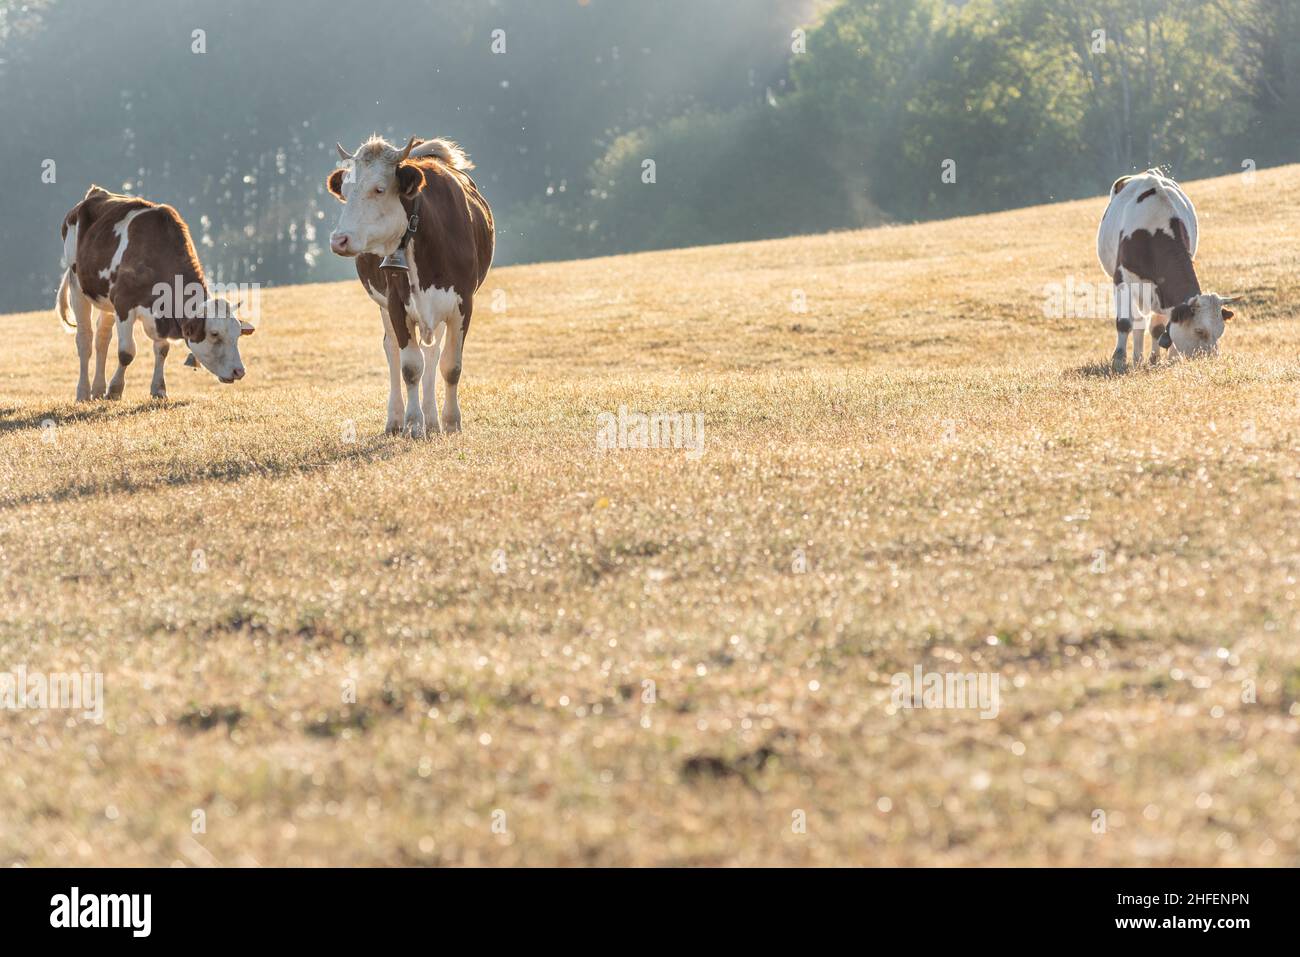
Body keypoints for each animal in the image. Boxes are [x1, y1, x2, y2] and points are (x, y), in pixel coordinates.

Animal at [55, 184, 253, 403]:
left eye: (238, 334)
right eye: (214, 334)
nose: (239, 371)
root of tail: (96, 193)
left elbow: (162, 349)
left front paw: (158, 389)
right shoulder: (123, 304)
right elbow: (126, 352)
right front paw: (115, 390)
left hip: (105, 301)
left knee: (102, 339)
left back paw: (98, 389)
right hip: (77, 286)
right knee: (85, 340)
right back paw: (83, 392)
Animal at [327, 133, 493, 436]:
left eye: (379, 189)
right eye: (344, 191)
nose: (339, 240)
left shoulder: (463, 303)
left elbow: (450, 365)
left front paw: (450, 422)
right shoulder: (395, 304)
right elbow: (410, 367)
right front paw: (413, 423)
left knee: (433, 352)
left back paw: (433, 419)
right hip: (385, 306)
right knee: (393, 351)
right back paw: (396, 419)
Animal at [1097, 167, 1237, 369]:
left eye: (1221, 330)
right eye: (1199, 331)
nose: (1211, 361)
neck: (1155, 230)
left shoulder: (1162, 291)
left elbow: (1158, 327)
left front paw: (1157, 359)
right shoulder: (1122, 280)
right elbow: (1124, 322)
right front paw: (1119, 360)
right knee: (1138, 320)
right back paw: (1135, 358)